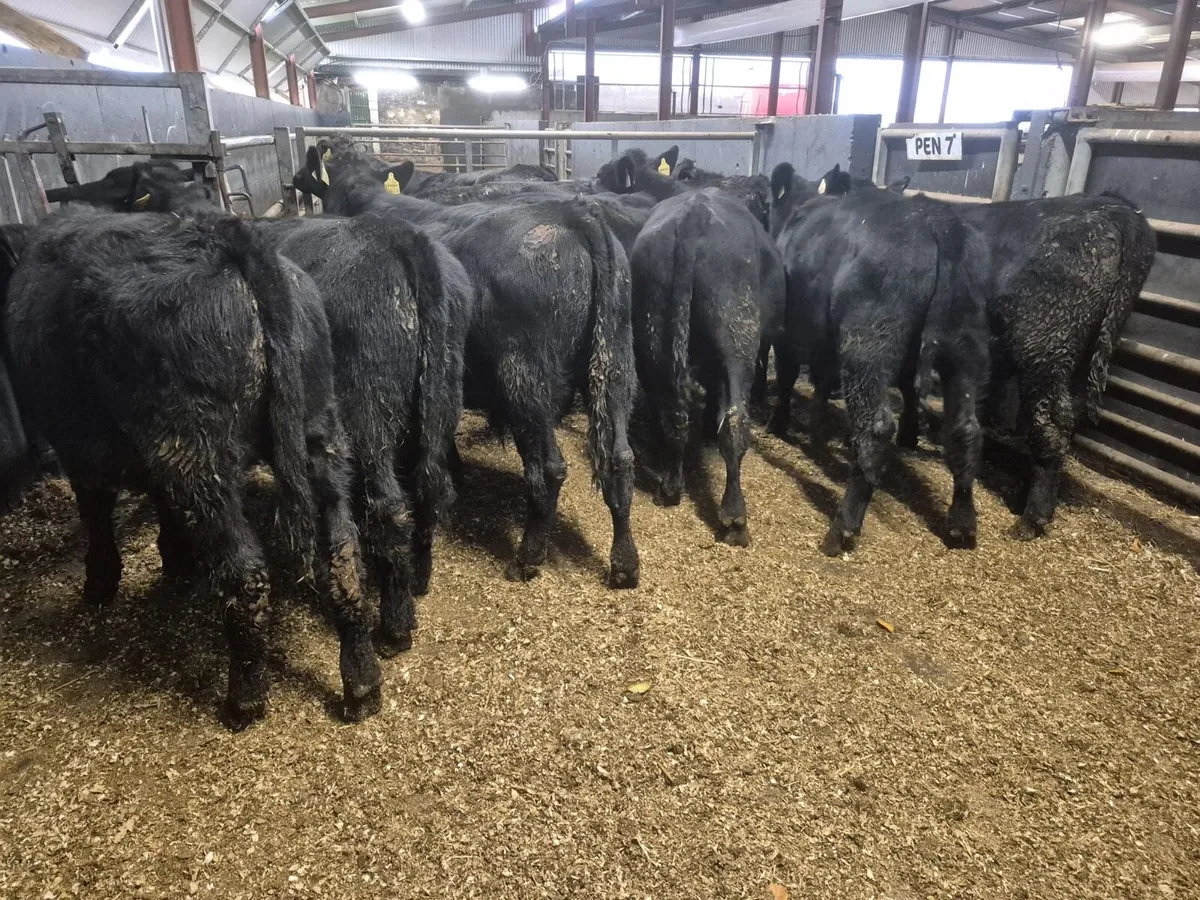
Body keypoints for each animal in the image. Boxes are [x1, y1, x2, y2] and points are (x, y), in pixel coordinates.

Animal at [0, 209, 382, 729]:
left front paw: (100, 583)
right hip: (318, 431)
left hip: (197, 455)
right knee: (341, 553)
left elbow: (95, 514)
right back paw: (362, 683)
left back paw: (244, 700)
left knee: (245, 575)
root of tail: (226, 237)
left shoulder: (77, 447)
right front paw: (174, 559)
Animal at [295, 148, 640, 588]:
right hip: (614, 361)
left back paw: (527, 558)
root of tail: (575, 214)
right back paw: (625, 564)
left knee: (548, 469)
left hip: (524, 376)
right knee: (620, 458)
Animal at [630, 187, 786, 546]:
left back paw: (670, 488)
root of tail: (695, 213)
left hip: (651, 339)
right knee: (734, 421)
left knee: (673, 415)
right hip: (737, 338)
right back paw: (735, 520)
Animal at [774, 186, 991, 556]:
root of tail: (938, 220)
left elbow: (790, 374)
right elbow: (823, 381)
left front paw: (780, 424)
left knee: (875, 428)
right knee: (965, 429)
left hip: (868, 346)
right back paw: (962, 524)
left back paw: (842, 529)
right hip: (966, 349)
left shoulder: (792, 329)